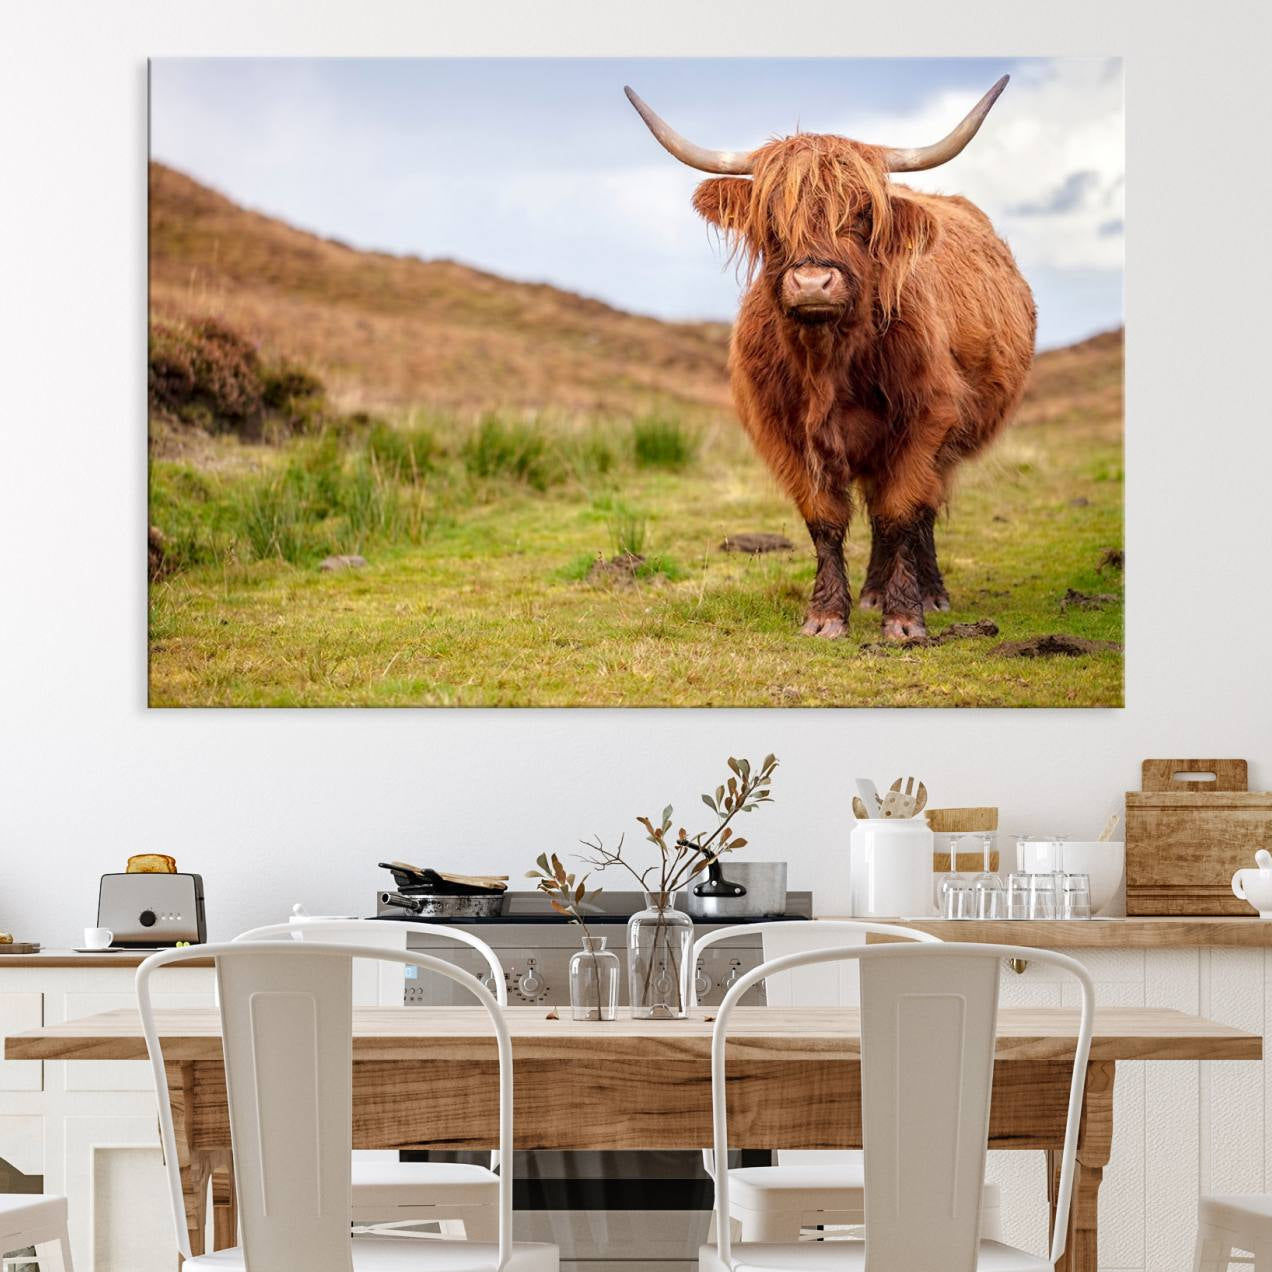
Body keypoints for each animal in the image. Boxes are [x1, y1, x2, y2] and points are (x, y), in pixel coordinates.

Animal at [626, 77, 1036, 641]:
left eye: (863, 214)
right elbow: (825, 519)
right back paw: (871, 593)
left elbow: (901, 512)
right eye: (772, 217)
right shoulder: (786, 433)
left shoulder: (926, 421)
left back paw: (929, 593)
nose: (813, 283)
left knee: (919, 512)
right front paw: (825, 616)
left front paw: (905, 619)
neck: (828, 362)